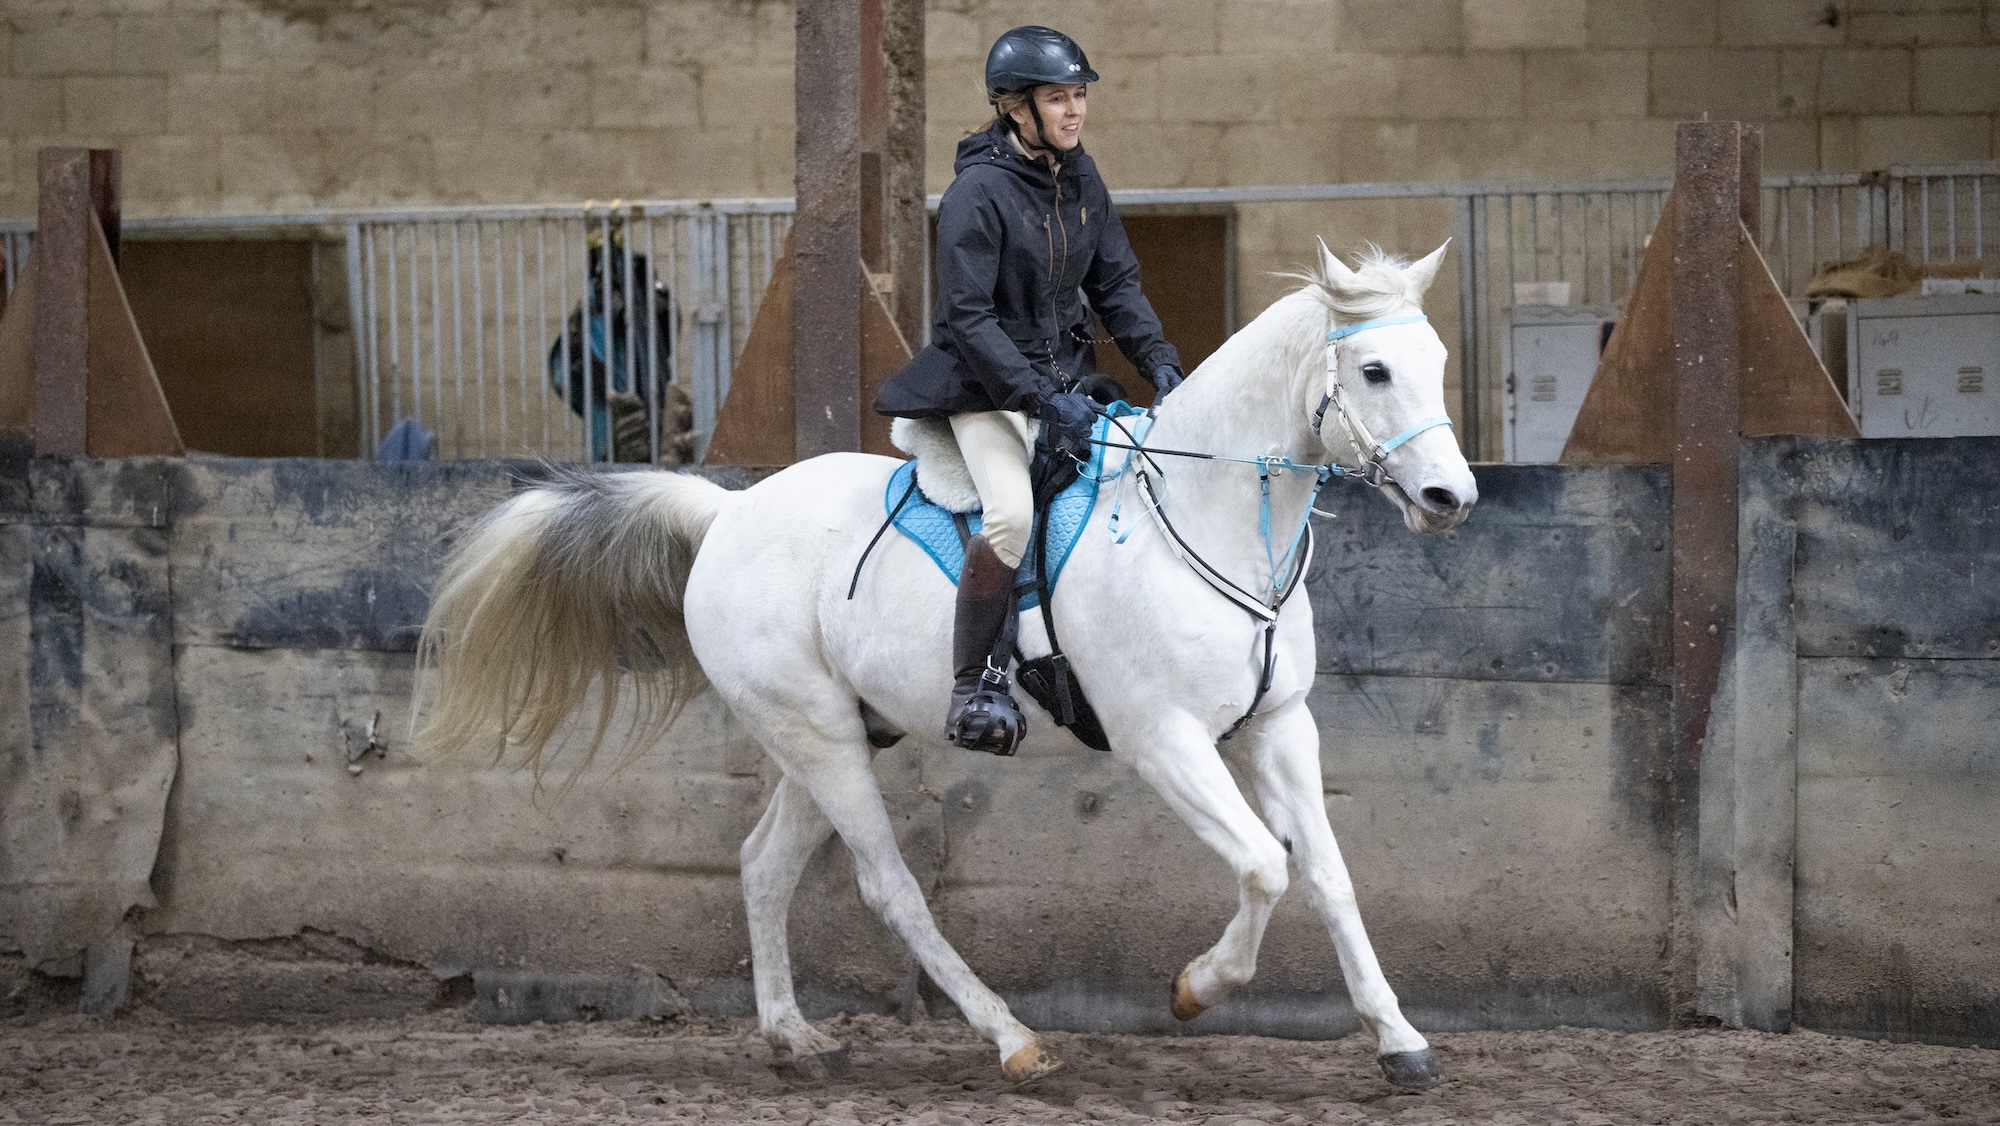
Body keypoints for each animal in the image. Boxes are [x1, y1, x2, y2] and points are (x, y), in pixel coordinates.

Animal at [415, 240, 1479, 1091]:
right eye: (1374, 369)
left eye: (1434, 362)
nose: (1451, 498)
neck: (1204, 515)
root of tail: (728, 512)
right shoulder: (1164, 740)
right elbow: (1264, 865)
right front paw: (1194, 990)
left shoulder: (1275, 727)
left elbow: (1329, 875)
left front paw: (1400, 1043)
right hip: (819, 736)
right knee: (890, 887)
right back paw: (1011, 1041)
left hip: (831, 734)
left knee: (764, 865)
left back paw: (794, 1040)